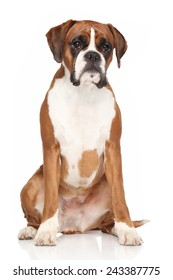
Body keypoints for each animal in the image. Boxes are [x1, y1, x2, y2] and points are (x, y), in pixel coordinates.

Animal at [18, 19, 147, 245]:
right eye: (77, 43)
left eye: (106, 47)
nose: (93, 55)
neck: (84, 93)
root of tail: (73, 227)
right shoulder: (51, 149)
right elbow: (50, 196)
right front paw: (46, 231)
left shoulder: (113, 150)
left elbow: (121, 196)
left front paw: (127, 229)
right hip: (31, 184)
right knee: (33, 217)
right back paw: (32, 230)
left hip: (105, 187)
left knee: (106, 223)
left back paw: (117, 229)